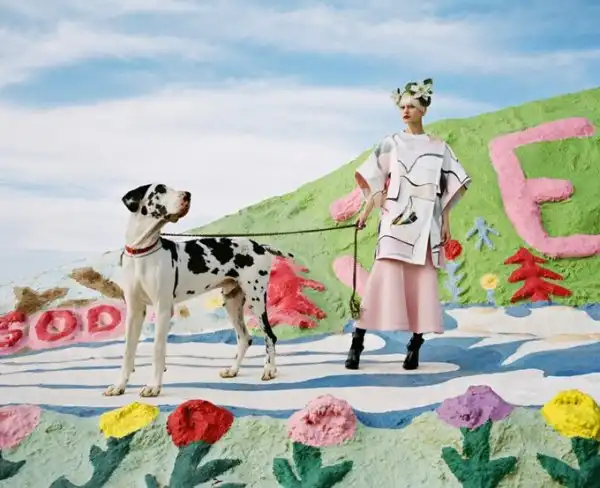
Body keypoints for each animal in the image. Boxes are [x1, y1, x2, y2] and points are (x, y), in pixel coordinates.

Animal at [103, 183, 293, 398]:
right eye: (160, 190)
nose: (188, 194)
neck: (141, 253)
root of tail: (259, 245)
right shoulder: (134, 311)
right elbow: (128, 352)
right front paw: (119, 386)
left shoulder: (162, 309)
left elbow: (157, 350)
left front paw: (153, 386)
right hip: (232, 302)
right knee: (245, 338)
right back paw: (233, 370)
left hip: (256, 299)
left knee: (270, 335)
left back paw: (269, 369)